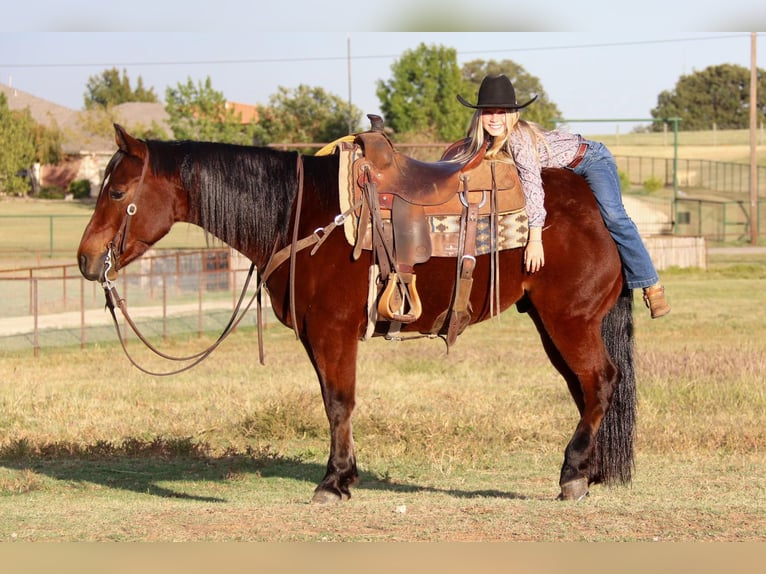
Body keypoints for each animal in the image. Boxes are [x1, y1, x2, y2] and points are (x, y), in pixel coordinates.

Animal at [78, 125, 636, 504]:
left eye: (118, 191)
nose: (85, 259)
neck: (299, 214)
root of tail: (597, 203)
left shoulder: (333, 331)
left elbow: (339, 404)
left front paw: (333, 481)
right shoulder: (315, 335)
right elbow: (332, 400)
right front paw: (345, 475)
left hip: (569, 320)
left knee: (600, 381)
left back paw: (573, 476)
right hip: (550, 322)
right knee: (584, 388)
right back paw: (588, 471)